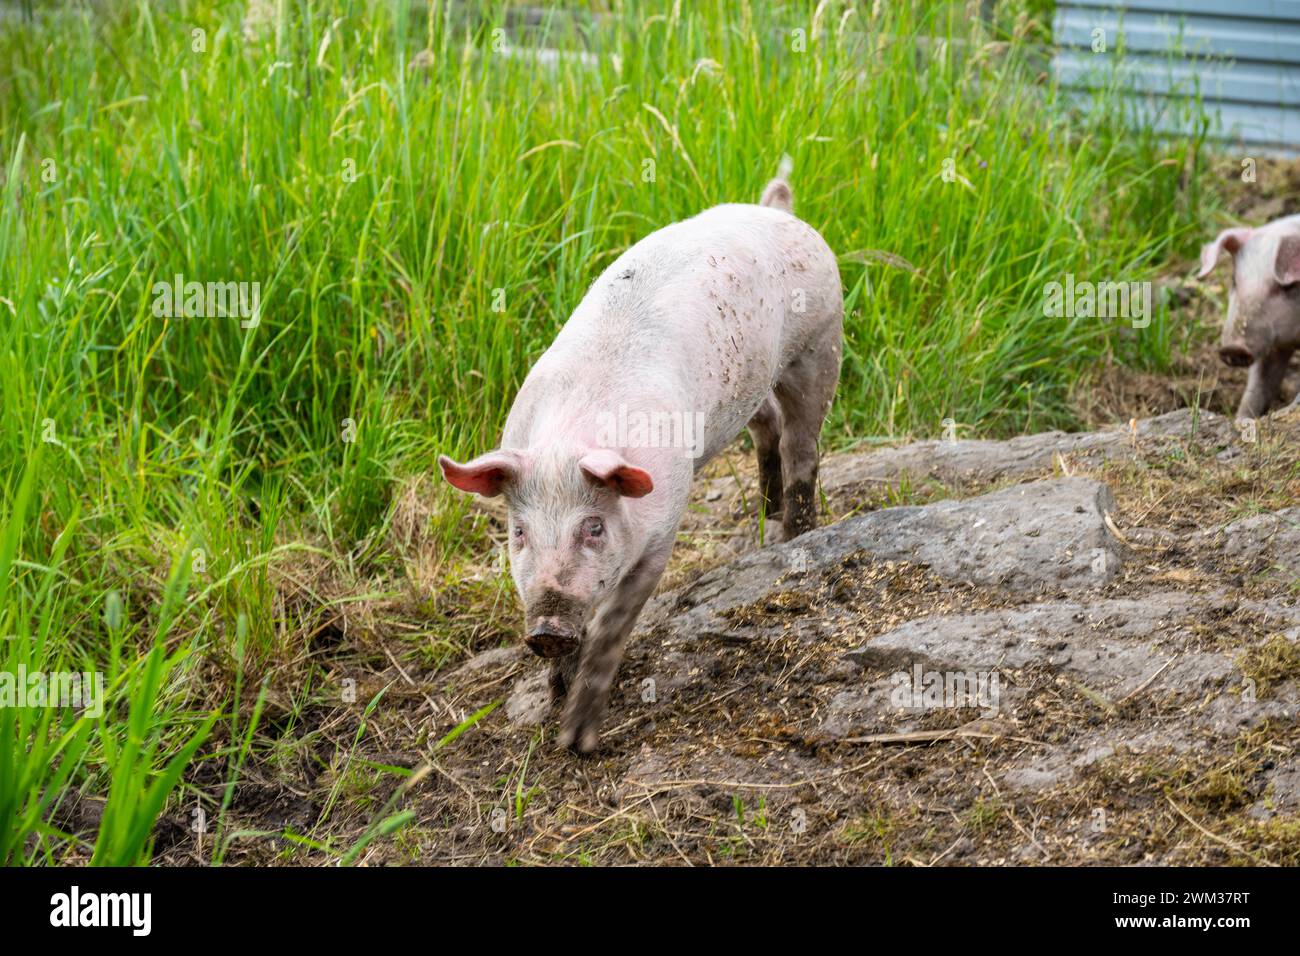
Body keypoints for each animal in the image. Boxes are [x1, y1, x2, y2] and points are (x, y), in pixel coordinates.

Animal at [436, 162, 842, 754]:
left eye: (594, 528)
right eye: (518, 532)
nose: (547, 628)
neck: (567, 441)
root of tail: (778, 210)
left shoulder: (663, 525)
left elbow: (613, 626)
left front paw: (577, 741)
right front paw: (555, 699)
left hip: (821, 343)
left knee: (801, 443)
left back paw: (794, 536)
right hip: (754, 382)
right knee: (766, 426)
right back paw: (765, 526)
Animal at [1196, 217, 1300, 418]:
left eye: (1286, 287)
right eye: (1234, 280)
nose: (1233, 348)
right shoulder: (1272, 347)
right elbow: (1258, 387)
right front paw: (1242, 418)